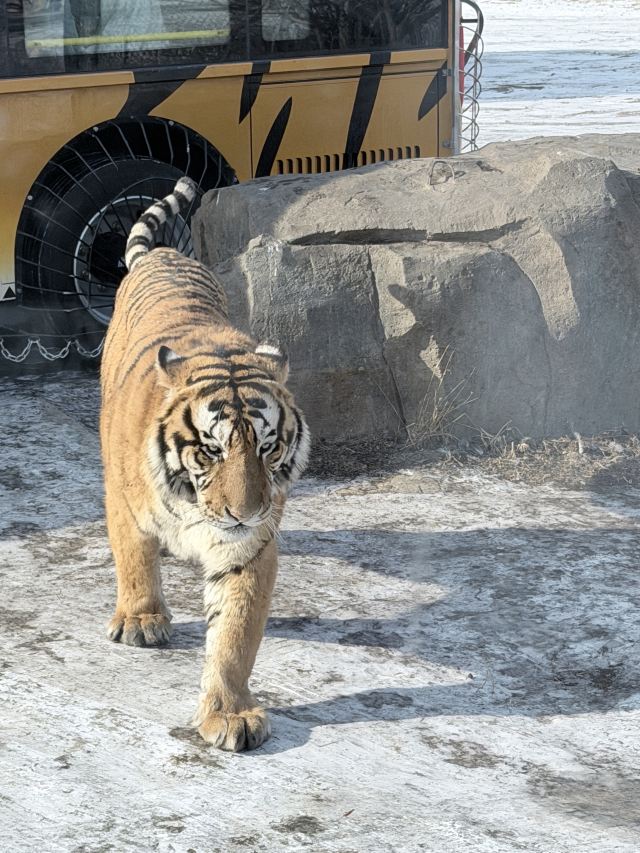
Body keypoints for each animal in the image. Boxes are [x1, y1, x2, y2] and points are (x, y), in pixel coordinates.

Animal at [100, 176, 310, 752]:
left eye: (267, 447)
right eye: (212, 449)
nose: (245, 513)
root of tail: (164, 253)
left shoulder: (249, 547)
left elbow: (235, 635)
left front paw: (231, 714)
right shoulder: (125, 505)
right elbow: (134, 559)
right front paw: (141, 622)